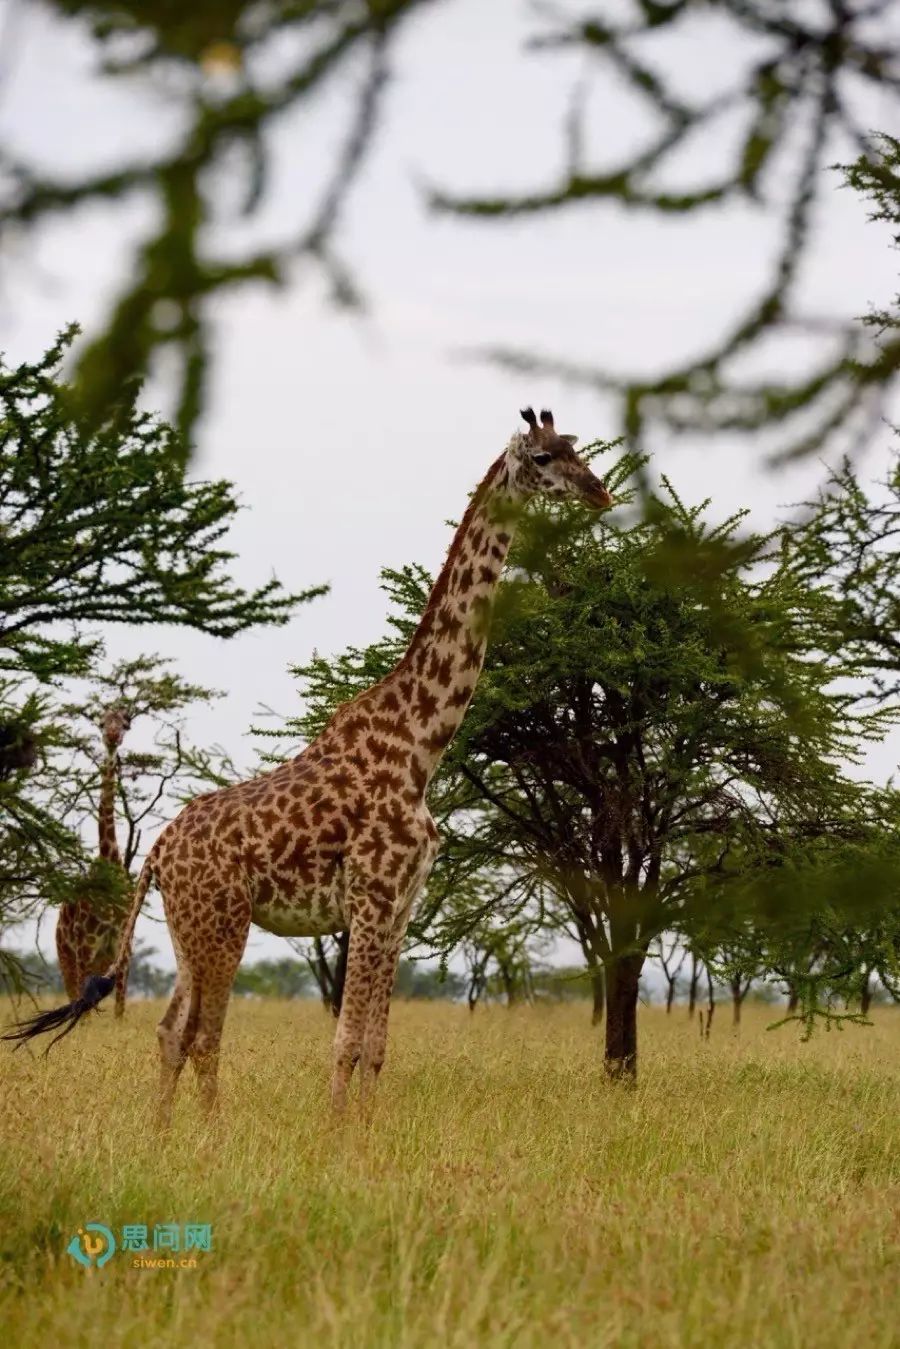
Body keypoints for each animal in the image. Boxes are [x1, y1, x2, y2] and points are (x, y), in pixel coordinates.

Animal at [54, 712, 132, 1014]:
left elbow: (120, 1008)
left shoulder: (122, 944)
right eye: (102, 722)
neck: (110, 860)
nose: (112, 737)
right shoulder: (85, 945)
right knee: (73, 995)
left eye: (124, 724)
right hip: (66, 954)